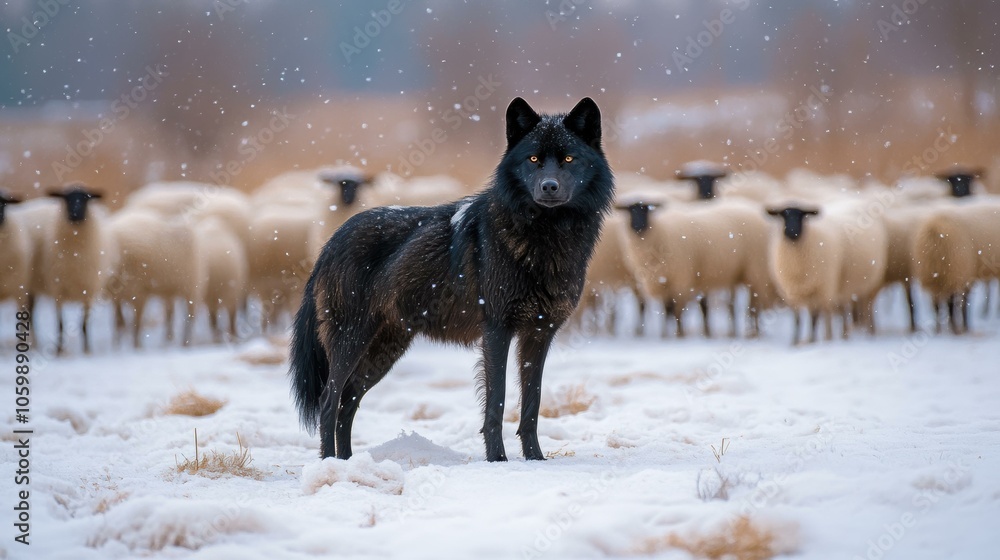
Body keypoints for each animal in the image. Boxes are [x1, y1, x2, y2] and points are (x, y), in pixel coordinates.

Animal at [107, 209, 205, 348]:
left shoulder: (139, 293)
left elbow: (136, 323)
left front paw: (136, 345)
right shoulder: (117, 298)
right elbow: (118, 323)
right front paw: (117, 345)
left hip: (191, 284)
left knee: (190, 315)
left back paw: (185, 342)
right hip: (169, 288)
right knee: (170, 313)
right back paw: (168, 340)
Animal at [290, 97, 614, 461]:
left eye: (569, 158)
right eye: (533, 159)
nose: (549, 186)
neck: (547, 237)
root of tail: (331, 241)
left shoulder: (539, 335)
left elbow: (532, 403)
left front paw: (534, 459)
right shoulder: (497, 330)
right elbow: (497, 401)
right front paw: (498, 460)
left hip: (384, 352)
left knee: (348, 402)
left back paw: (347, 462)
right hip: (352, 340)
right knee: (328, 402)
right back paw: (330, 463)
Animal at [617, 197, 778, 338]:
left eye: (646, 210)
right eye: (629, 211)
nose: (638, 227)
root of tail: (752, 207)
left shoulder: (681, 278)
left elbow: (677, 310)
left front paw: (679, 334)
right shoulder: (660, 281)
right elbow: (665, 310)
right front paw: (665, 335)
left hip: (756, 269)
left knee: (755, 305)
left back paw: (754, 332)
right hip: (739, 273)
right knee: (740, 305)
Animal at [766, 200, 888, 344]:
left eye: (803, 215)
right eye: (783, 215)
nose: (791, 232)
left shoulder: (822, 288)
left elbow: (815, 317)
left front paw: (814, 340)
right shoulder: (792, 293)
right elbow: (798, 319)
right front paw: (795, 341)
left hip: (865, 283)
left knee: (863, 306)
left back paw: (862, 333)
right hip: (843, 284)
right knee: (842, 307)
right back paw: (842, 334)